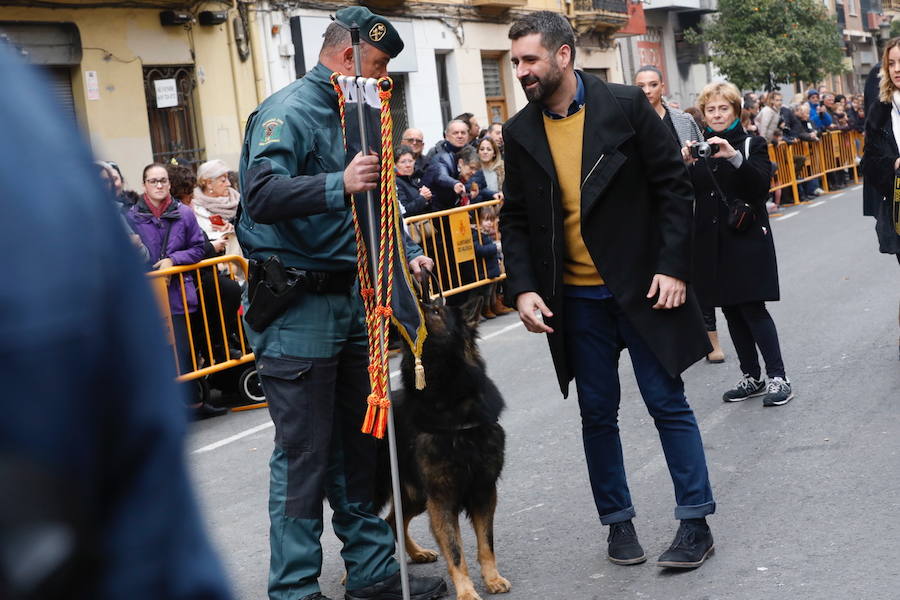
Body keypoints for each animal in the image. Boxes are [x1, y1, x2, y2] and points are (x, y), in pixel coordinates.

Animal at [376, 296, 510, 600]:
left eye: (436, 310)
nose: (403, 306)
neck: (450, 399)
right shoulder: (441, 498)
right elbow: (456, 551)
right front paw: (466, 591)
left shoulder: (483, 490)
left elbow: (486, 543)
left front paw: (492, 578)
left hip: (414, 496)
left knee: (393, 521)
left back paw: (416, 554)